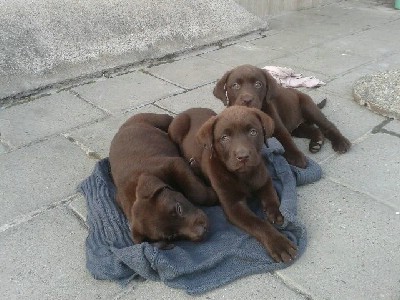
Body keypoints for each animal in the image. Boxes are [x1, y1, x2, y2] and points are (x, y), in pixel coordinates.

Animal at [108, 112, 219, 248]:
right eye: (172, 236)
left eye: (179, 208)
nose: (202, 233)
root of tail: (123, 125)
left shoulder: (174, 164)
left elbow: (197, 192)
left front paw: (213, 195)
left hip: (160, 119)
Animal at [169, 106, 296, 262]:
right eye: (225, 138)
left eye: (253, 132)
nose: (243, 157)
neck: (243, 175)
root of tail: (190, 109)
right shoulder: (233, 206)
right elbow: (258, 223)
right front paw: (279, 243)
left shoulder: (263, 178)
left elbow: (271, 194)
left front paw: (275, 212)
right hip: (176, 130)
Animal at [212, 64, 350, 168]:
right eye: (235, 85)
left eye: (258, 84)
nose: (247, 100)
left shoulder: (279, 128)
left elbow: (286, 140)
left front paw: (296, 156)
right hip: (296, 127)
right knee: (313, 129)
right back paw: (316, 143)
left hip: (309, 108)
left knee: (327, 126)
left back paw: (341, 142)